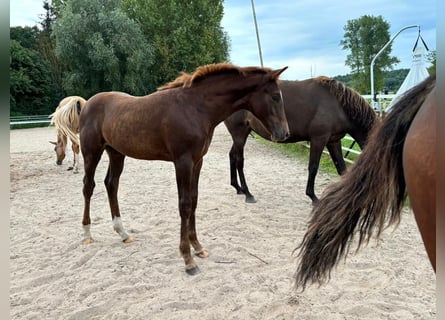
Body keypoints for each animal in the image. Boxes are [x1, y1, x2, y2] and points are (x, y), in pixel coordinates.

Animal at [79, 63, 288, 276]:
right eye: (275, 96)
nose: (284, 133)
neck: (195, 107)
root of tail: (87, 104)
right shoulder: (183, 162)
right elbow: (184, 204)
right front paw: (188, 259)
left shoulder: (197, 162)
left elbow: (194, 201)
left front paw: (198, 247)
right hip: (91, 152)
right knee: (88, 186)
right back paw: (87, 234)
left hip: (116, 153)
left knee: (111, 184)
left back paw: (123, 233)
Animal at [224, 76, 376, 204]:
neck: (337, 105)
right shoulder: (319, 139)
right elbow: (313, 167)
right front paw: (313, 197)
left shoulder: (333, 141)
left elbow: (342, 169)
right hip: (239, 133)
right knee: (239, 161)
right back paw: (248, 194)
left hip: (242, 134)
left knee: (232, 156)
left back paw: (238, 188)